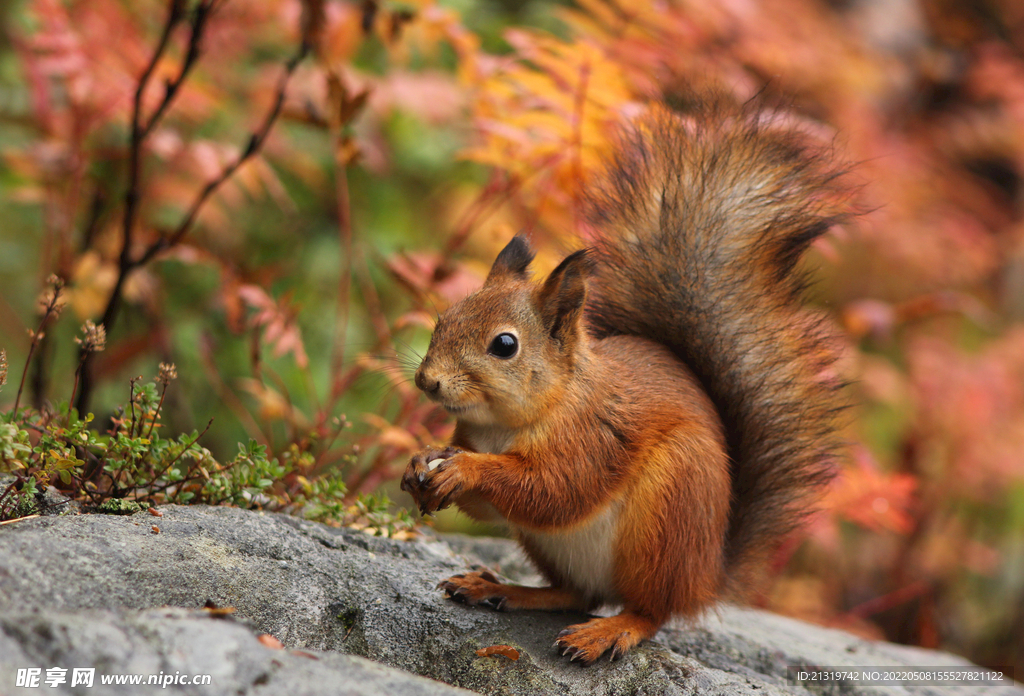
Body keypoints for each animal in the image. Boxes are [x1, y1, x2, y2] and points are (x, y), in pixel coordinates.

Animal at [399, 97, 847, 663]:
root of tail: (705, 578)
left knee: (650, 610)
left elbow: (553, 489)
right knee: (575, 593)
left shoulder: (593, 437)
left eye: (504, 345)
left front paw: (465, 469)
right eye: (445, 317)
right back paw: (501, 589)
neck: (507, 423)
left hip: (669, 512)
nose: (427, 381)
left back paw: (608, 631)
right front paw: (421, 460)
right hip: (552, 546)